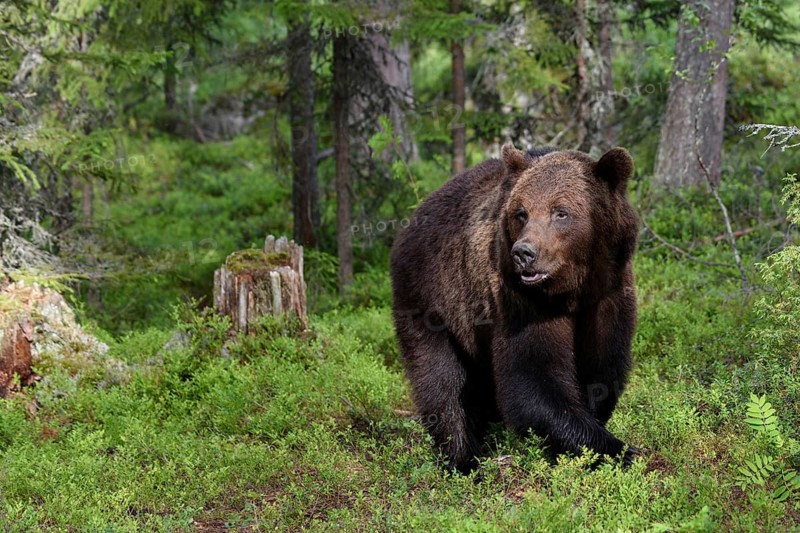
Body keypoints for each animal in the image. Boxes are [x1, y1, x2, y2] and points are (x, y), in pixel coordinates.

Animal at [389, 143, 639, 472]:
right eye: (521, 212)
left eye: (561, 212)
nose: (524, 253)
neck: (573, 290)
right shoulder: (522, 301)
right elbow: (532, 379)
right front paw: (618, 449)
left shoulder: (609, 295)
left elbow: (603, 368)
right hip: (430, 299)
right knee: (440, 379)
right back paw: (462, 458)